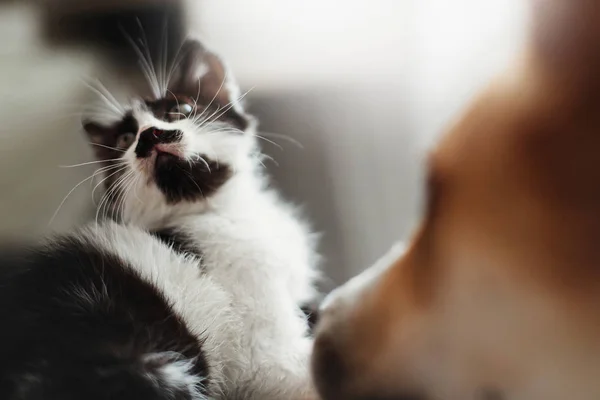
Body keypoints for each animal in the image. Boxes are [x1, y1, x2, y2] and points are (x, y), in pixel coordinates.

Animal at [0, 38, 318, 400]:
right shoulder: (265, 352)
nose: (149, 135)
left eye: (182, 109)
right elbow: (293, 368)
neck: (217, 211)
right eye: (125, 139)